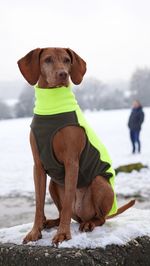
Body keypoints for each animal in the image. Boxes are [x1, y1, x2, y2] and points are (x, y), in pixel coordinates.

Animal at [17, 48, 135, 245]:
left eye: (67, 60)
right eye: (47, 60)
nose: (63, 74)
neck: (51, 107)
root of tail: (81, 214)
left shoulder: (71, 162)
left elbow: (66, 204)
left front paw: (63, 234)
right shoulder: (38, 166)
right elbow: (39, 203)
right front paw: (35, 231)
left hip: (99, 182)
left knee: (99, 217)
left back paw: (89, 223)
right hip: (54, 184)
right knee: (64, 212)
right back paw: (51, 222)